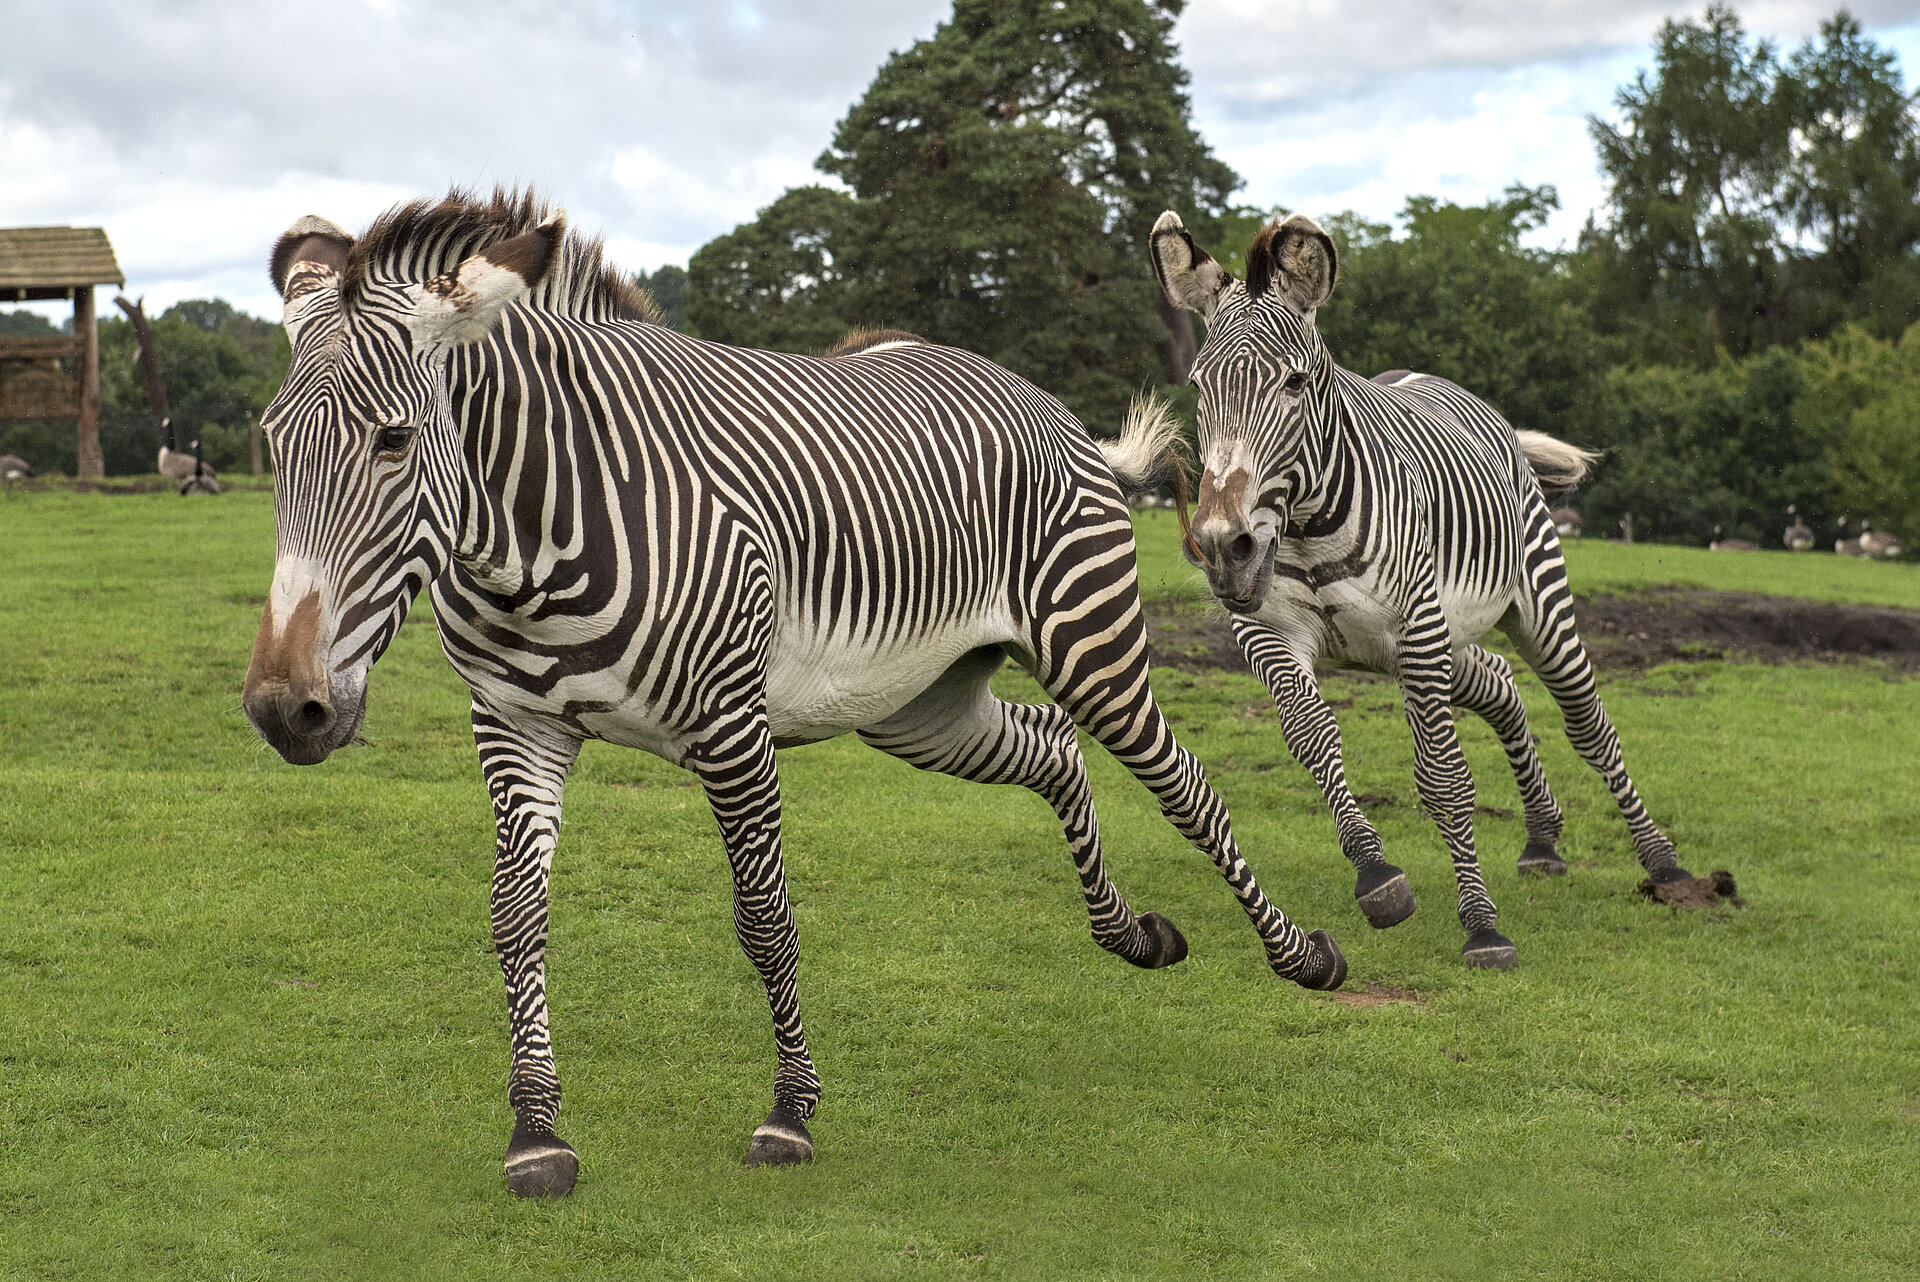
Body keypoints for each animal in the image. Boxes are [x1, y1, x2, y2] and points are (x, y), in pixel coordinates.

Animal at [238, 189, 1347, 1199]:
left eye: (391, 441)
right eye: (270, 442)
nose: (284, 710)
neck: (535, 535)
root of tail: (1036, 397)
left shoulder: (732, 727)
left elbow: (764, 916)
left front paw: (791, 1111)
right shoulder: (515, 723)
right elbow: (516, 916)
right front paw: (536, 1130)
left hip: (1092, 646)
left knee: (1184, 784)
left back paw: (1302, 953)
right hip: (918, 708)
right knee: (1051, 748)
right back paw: (1131, 933)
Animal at [1141, 209, 1692, 970]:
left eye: (1296, 383)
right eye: (1199, 387)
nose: (1225, 548)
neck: (1305, 524)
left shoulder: (1416, 626)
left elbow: (1444, 777)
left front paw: (1483, 928)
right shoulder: (1267, 629)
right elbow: (1312, 736)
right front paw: (1376, 872)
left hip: (1527, 613)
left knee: (1588, 724)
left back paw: (1663, 863)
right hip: (1429, 641)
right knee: (1499, 683)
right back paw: (1542, 839)